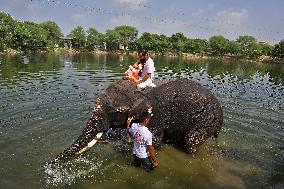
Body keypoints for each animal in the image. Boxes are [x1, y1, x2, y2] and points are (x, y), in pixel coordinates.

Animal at [51, 78, 224, 164]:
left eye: (111, 110)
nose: (50, 164)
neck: (139, 92)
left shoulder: (155, 118)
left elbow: (154, 142)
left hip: (206, 122)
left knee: (191, 140)